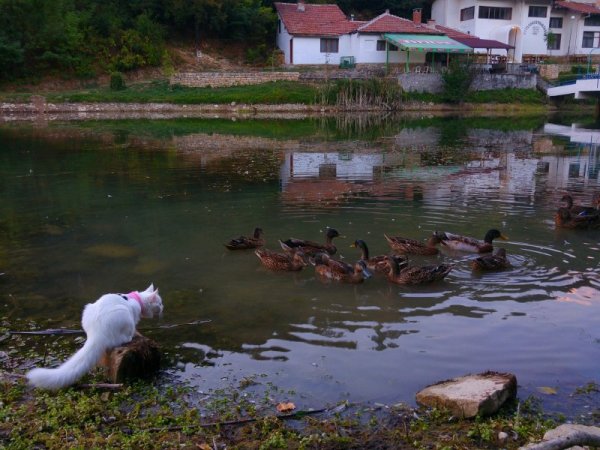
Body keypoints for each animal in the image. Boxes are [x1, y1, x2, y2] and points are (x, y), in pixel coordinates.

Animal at [25, 284, 163, 390]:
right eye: (160, 303)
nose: (163, 308)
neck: (137, 299)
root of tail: (96, 333)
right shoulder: (133, 317)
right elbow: (134, 328)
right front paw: (135, 333)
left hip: (87, 309)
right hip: (125, 318)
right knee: (121, 339)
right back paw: (129, 337)